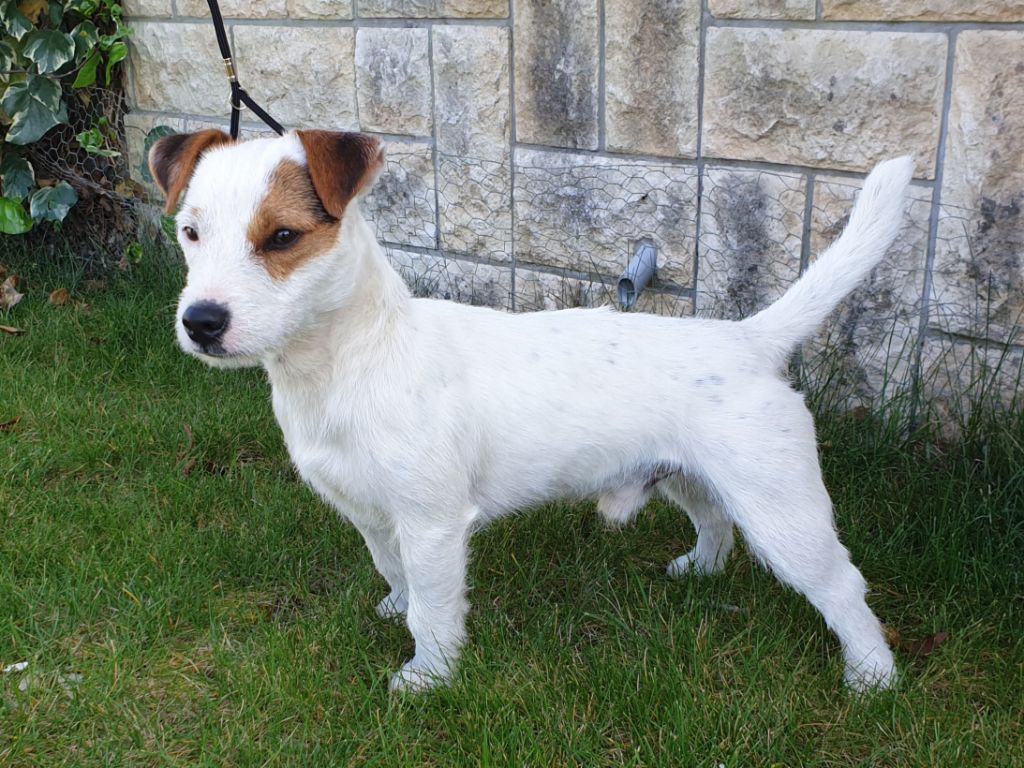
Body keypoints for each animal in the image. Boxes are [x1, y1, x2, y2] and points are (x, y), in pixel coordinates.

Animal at [149, 129, 912, 693]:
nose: (201, 322)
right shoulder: (369, 513)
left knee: (842, 585)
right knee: (714, 521)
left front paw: (428, 679)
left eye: (282, 237)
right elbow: (393, 572)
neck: (353, 360)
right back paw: (700, 570)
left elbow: (433, 611)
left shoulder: (432, 525)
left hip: (780, 508)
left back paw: (872, 678)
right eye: (189, 233)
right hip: (690, 475)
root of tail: (749, 338)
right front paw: (395, 608)